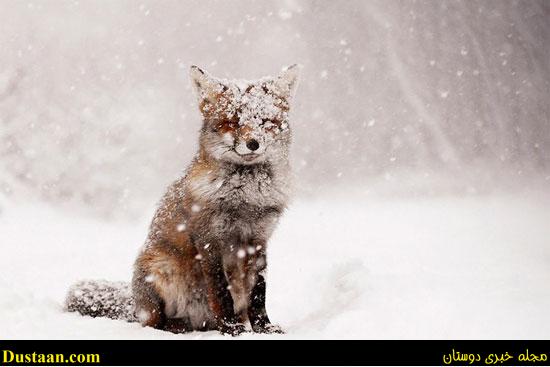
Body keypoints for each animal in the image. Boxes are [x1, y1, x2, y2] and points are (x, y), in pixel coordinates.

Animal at [67, 64, 304, 336]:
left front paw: (264, 327)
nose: (252, 143)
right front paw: (231, 328)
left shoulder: (258, 240)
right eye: (232, 122)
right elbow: (220, 291)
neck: (245, 199)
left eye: (266, 122)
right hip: (160, 273)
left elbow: (258, 292)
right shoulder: (210, 240)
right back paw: (178, 326)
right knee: (154, 322)